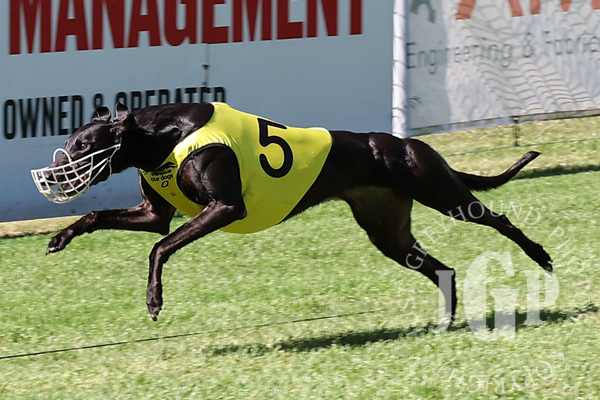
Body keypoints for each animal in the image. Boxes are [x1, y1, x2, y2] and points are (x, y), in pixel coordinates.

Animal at [31, 102, 552, 322]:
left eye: (82, 145)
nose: (53, 174)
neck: (165, 136)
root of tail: (405, 142)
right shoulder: (152, 212)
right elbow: (100, 219)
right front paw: (58, 238)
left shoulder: (224, 208)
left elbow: (160, 246)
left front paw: (154, 300)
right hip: (389, 235)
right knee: (443, 269)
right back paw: (446, 319)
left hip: (445, 196)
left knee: (500, 220)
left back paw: (540, 256)